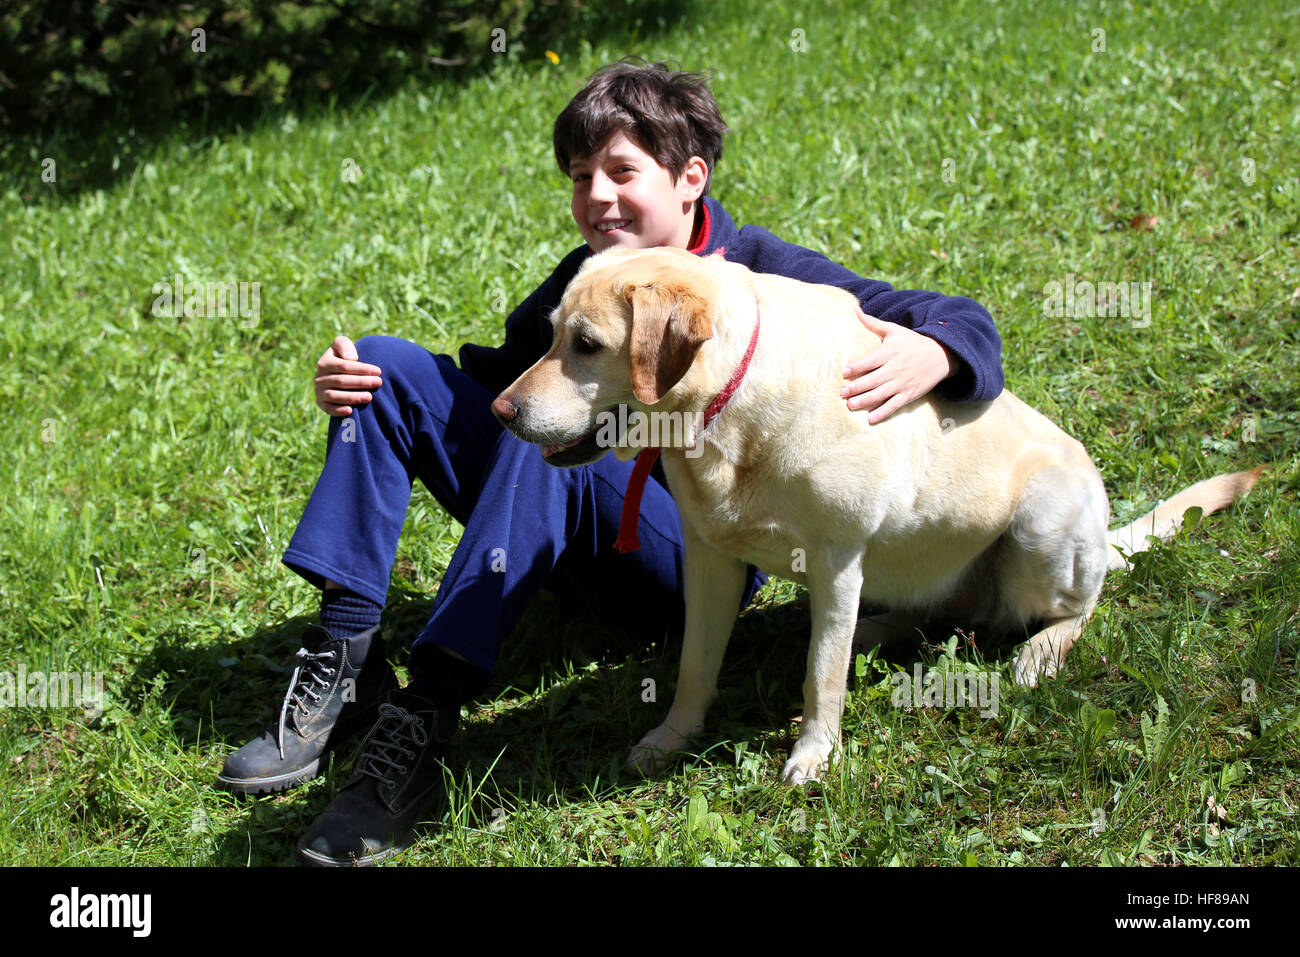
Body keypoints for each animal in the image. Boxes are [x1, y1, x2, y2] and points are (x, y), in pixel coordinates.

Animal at [488, 243, 1258, 780]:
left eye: (587, 345)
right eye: (549, 334)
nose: (501, 409)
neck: (731, 406)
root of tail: (1104, 531)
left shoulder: (837, 559)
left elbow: (820, 676)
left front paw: (814, 753)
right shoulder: (712, 558)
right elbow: (694, 665)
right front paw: (674, 737)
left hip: (1040, 526)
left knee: (1067, 610)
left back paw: (1037, 651)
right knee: (937, 613)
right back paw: (871, 630)